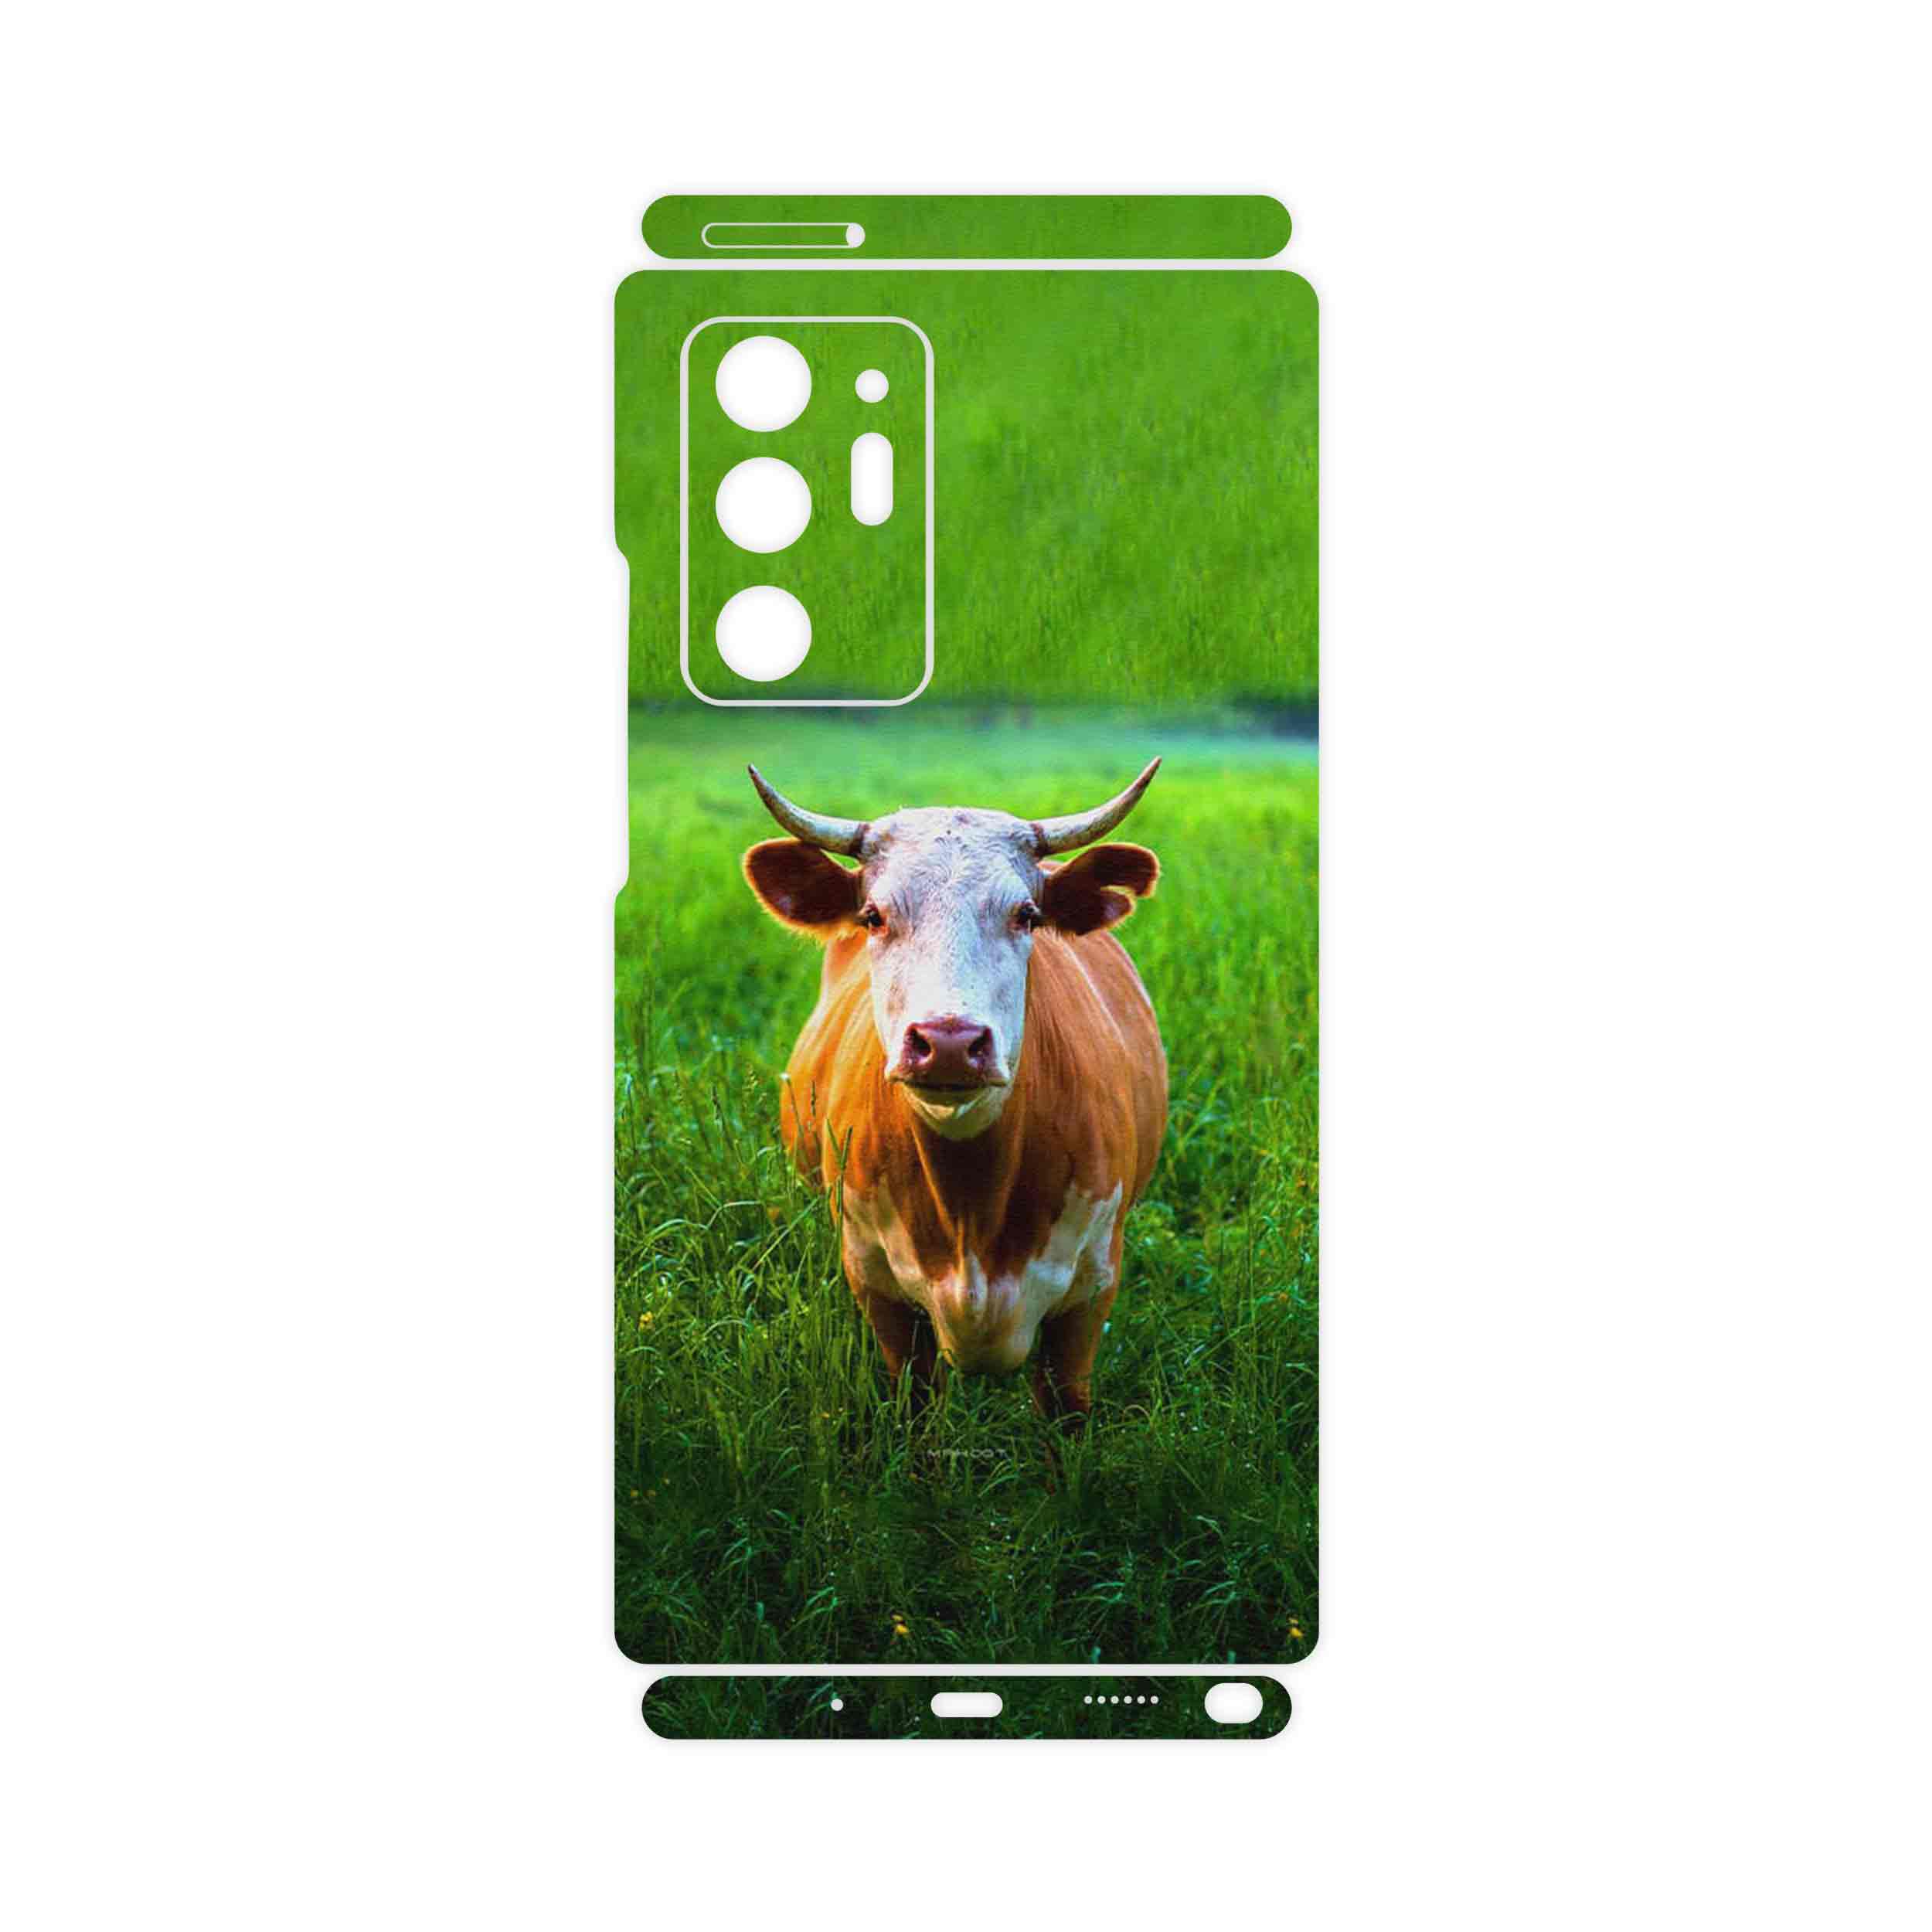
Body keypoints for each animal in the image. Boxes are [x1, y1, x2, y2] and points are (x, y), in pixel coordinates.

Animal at [741, 760, 1168, 1425]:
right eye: (873, 916)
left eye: (1026, 915)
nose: (948, 1041)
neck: (972, 1207)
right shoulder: (878, 1288)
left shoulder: (1091, 1292)